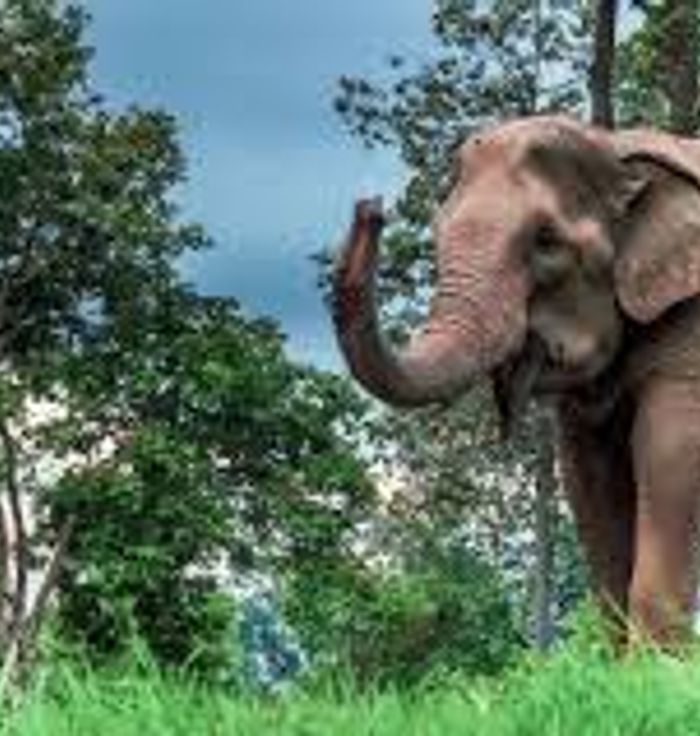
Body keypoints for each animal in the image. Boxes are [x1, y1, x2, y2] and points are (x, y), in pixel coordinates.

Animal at [332, 115, 700, 647]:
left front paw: (655, 664)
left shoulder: (690, 321)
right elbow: (588, 475)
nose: (370, 209)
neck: (616, 148)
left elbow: (672, 452)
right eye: (438, 230)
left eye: (546, 242)